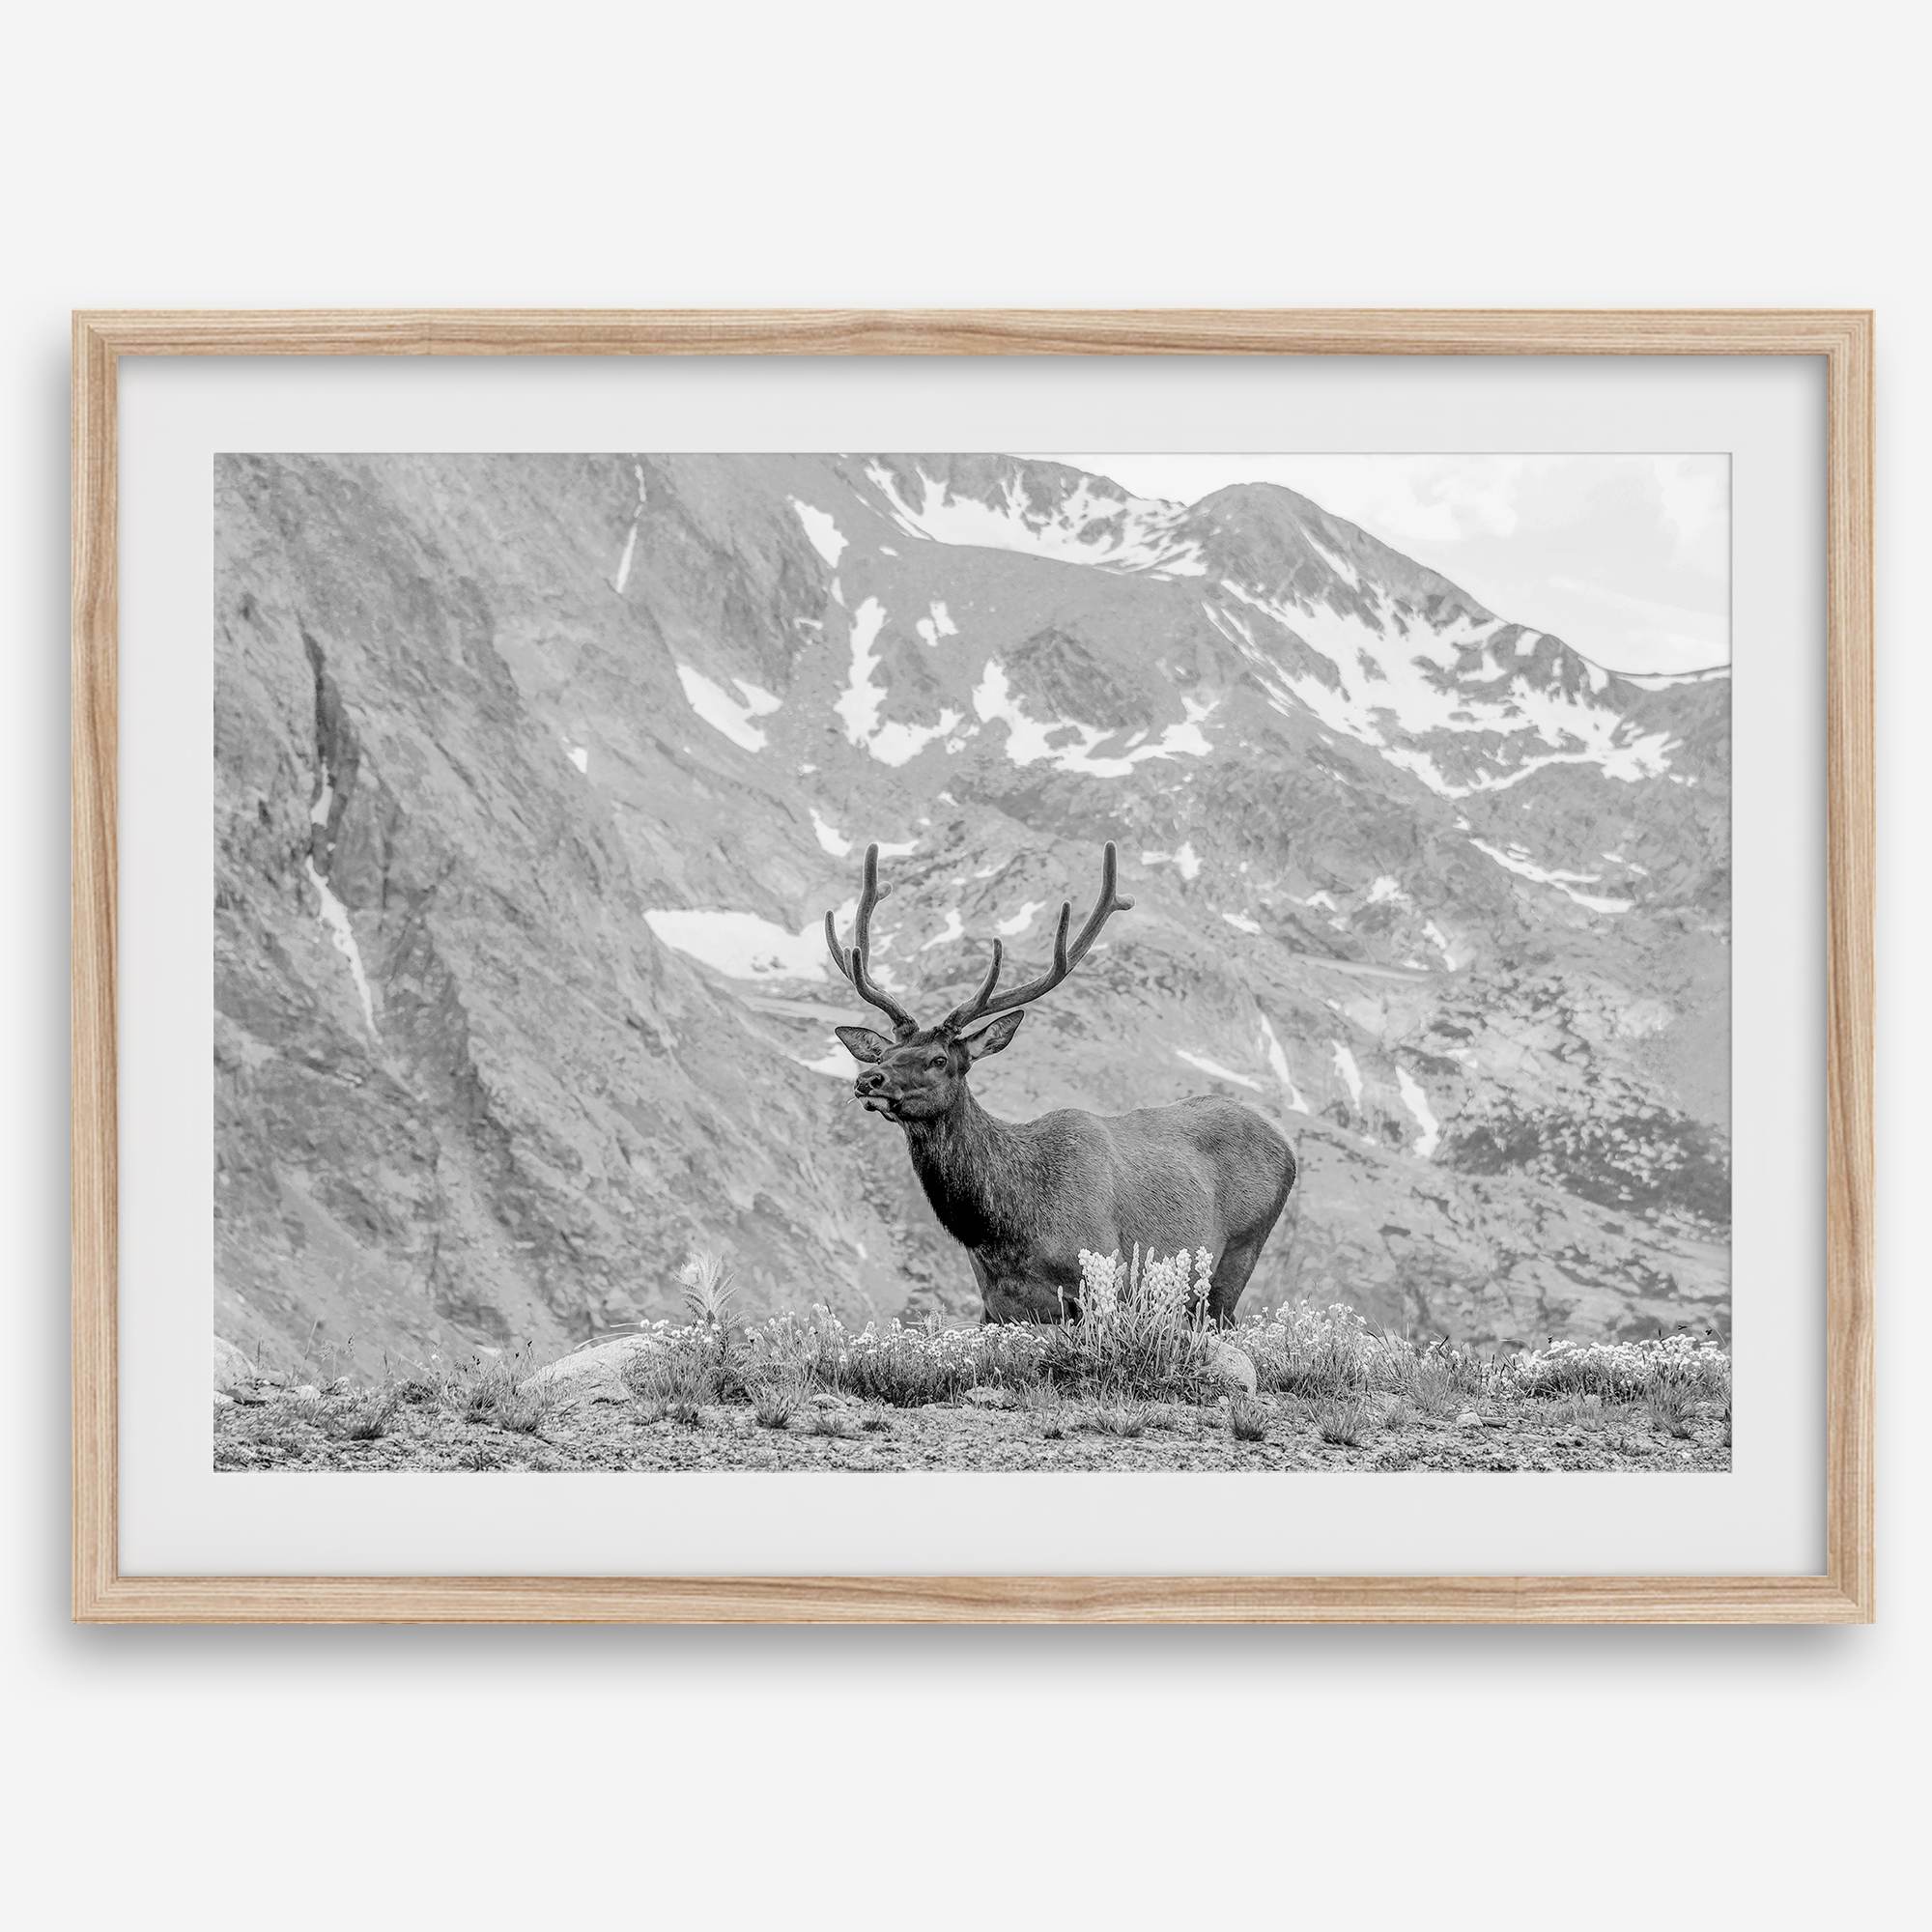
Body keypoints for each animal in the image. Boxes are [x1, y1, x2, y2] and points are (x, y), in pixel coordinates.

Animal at [825, 841, 1297, 1325]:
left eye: (939, 1060)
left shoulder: (1105, 1278)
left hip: (1239, 1253)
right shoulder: (996, 1307)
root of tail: (1284, 1141)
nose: (868, 1079)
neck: (1004, 1232)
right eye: (882, 1055)